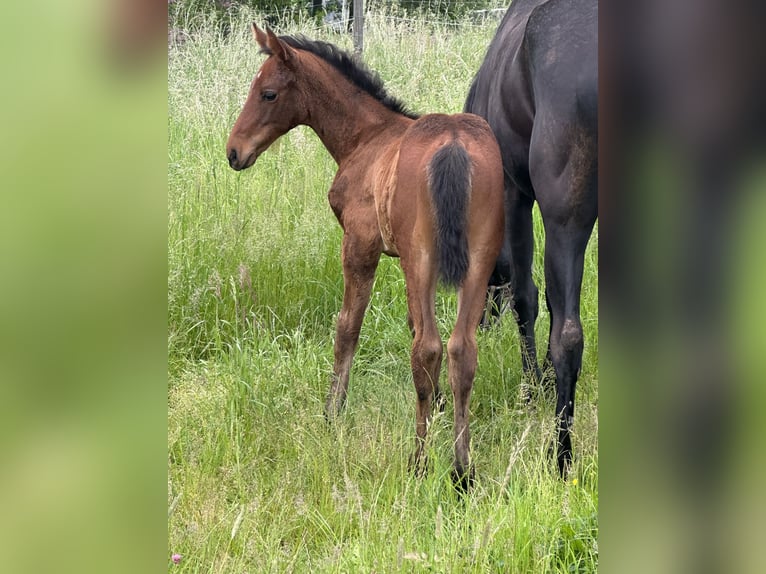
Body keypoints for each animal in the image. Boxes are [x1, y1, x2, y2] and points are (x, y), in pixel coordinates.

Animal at [226, 24, 504, 488]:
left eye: (267, 93)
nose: (233, 152)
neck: (366, 138)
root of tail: (453, 145)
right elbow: (411, 326)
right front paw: (440, 405)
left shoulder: (360, 245)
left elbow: (347, 328)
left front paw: (332, 411)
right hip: (478, 262)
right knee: (461, 350)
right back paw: (462, 470)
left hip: (421, 259)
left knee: (427, 348)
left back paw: (419, 462)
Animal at [464, 0, 604, 476]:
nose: (481, 322)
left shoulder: (513, 193)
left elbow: (526, 295)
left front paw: (532, 388)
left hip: (566, 219)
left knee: (569, 336)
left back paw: (560, 457)